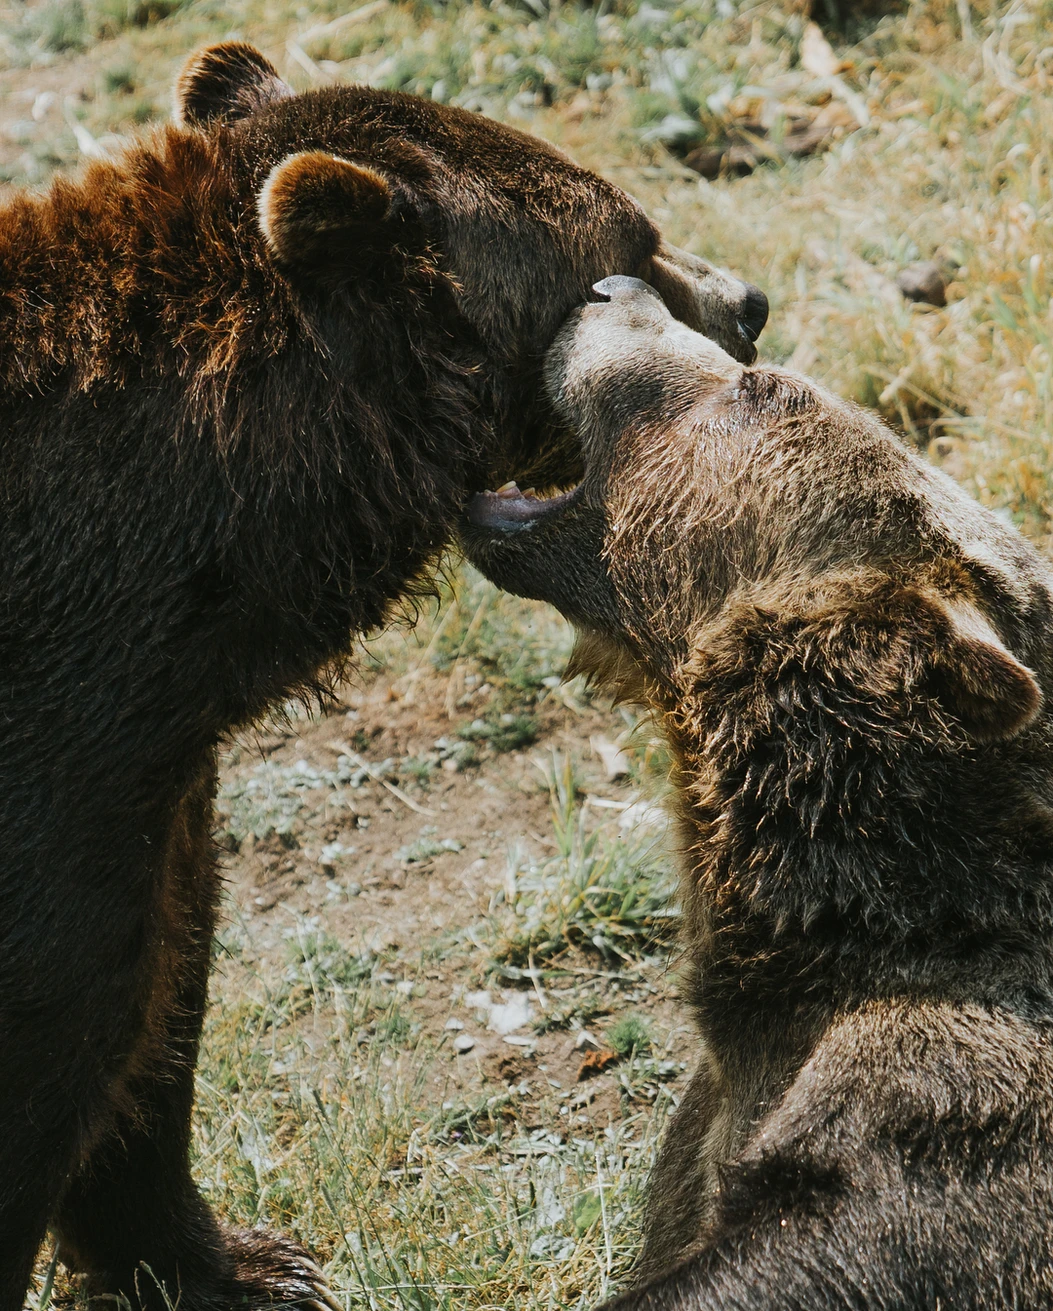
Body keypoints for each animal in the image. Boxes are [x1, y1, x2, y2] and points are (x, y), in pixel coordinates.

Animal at [0, 48, 771, 1311]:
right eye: (627, 242)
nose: (747, 303)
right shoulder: (55, 772)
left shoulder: (142, 785)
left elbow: (153, 1002)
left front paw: (241, 1264)